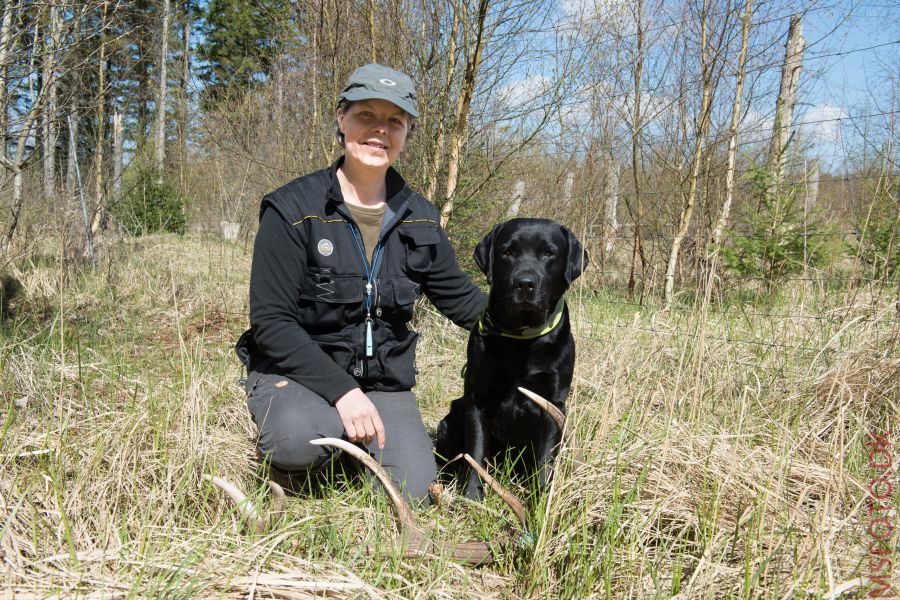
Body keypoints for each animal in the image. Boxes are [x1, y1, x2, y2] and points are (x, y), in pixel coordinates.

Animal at [436, 218, 592, 500]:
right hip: (449, 420)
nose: (525, 283)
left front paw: (541, 501)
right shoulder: (477, 399)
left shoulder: (552, 403)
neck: (522, 341)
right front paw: (473, 496)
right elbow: (475, 453)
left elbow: (545, 461)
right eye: (507, 252)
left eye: (548, 253)